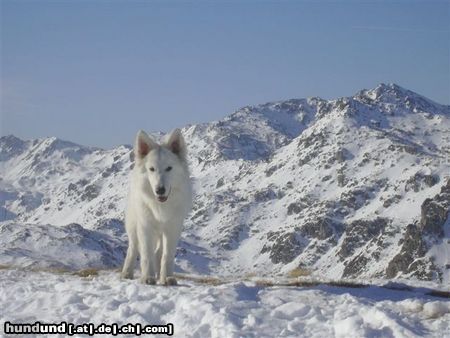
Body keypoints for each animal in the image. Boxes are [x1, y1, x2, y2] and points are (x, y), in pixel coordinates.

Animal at [121, 129, 192, 286]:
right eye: (152, 169)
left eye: (169, 168)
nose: (160, 190)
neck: (160, 207)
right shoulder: (146, 227)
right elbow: (147, 254)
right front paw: (148, 277)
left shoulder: (172, 229)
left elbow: (167, 255)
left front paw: (168, 277)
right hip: (134, 228)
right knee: (132, 248)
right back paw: (127, 272)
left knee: (159, 252)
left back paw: (160, 275)